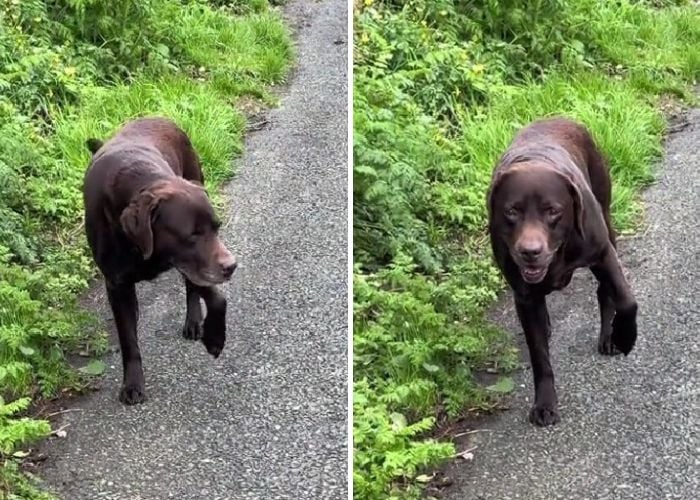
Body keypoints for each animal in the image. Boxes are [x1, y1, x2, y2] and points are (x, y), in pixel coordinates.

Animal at [83, 118, 238, 406]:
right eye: (192, 235)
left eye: (217, 227)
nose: (231, 266)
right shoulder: (117, 285)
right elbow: (128, 339)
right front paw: (133, 384)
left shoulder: (190, 264)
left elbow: (217, 298)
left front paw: (214, 337)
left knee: (191, 288)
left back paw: (193, 322)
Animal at [490, 117, 636, 426]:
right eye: (511, 211)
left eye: (552, 210)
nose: (529, 251)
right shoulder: (524, 294)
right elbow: (539, 355)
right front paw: (545, 403)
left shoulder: (603, 253)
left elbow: (627, 301)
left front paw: (624, 336)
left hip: (607, 216)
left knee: (605, 292)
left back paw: (608, 336)